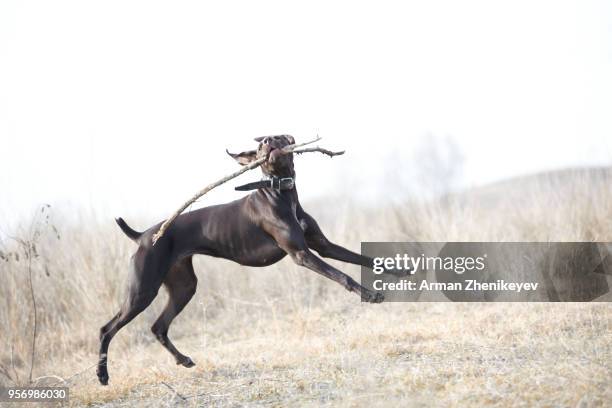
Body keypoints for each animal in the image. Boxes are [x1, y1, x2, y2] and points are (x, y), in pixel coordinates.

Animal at [95, 135, 382, 386]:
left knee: (158, 327)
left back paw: (183, 360)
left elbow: (364, 259)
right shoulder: (301, 255)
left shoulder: (323, 247)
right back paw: (102, 375)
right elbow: (343, 275)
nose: (267, 142)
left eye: (279, 136)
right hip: (142, 291)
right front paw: (368, 294)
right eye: (261, 144)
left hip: (183, 287)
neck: (282, 194)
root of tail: (143, 235)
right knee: (107, 329)